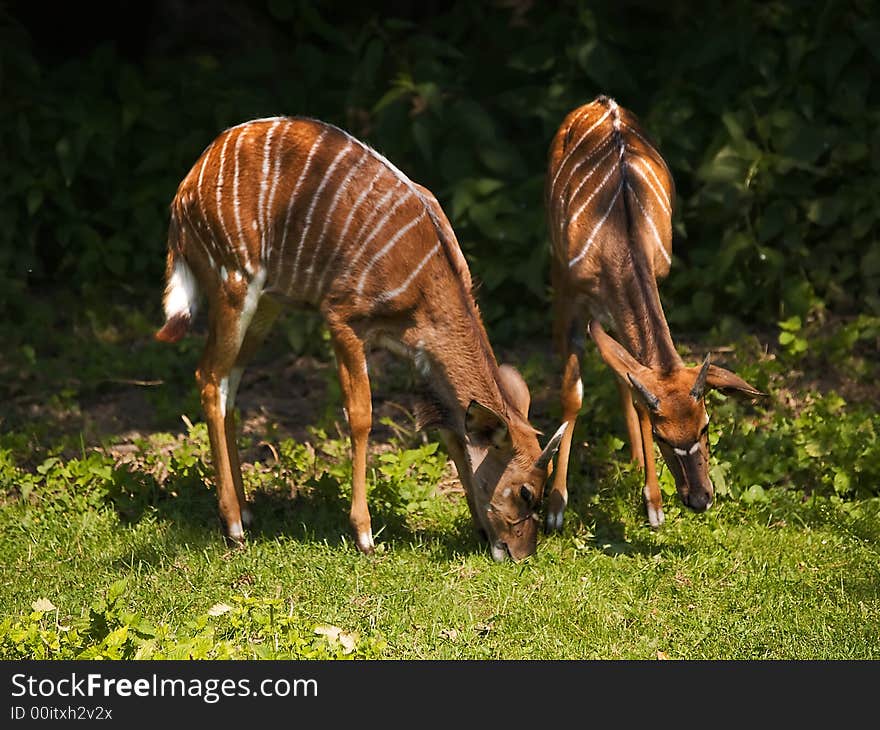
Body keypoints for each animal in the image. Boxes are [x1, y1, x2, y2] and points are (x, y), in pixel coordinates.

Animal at [155, 115, 568, 556]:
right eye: (525, 492)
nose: (522, 553)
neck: (427, 286)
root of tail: (185, 191)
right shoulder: (342, 319)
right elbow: (361, 417)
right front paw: (365, 534)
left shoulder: (415, 352)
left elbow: (452, 432)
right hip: (233, 282)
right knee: (209, 377)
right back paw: (233, 525)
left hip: (267, 302)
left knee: (229, 384)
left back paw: (247, 512)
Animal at [540, 95, 760, 528]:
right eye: (663, 436)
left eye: (706, 426)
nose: (700, 498)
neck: (620, 238)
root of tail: (600, 101)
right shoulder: (576, 295)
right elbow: (573, 395)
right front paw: (556, 506)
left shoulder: (654, 278)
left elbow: (635, 383)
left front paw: (653, 502)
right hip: (559, 268)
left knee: (623, 374)